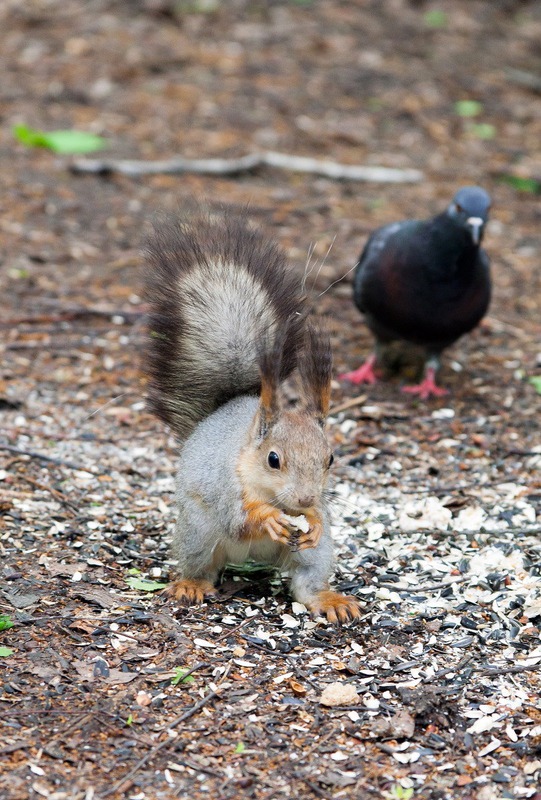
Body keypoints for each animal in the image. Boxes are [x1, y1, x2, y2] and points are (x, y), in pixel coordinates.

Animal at [146, 209, 360, 620]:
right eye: (273, 459)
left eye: (330, 459)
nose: (306, 500)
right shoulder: (226, 487)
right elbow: (240, 519)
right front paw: (267, 519)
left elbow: (319, 520)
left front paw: (314, 520)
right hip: (197, 530)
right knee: (202, 565)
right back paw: (191, 584)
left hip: (317, 556)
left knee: (307, 580)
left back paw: (328, 599)